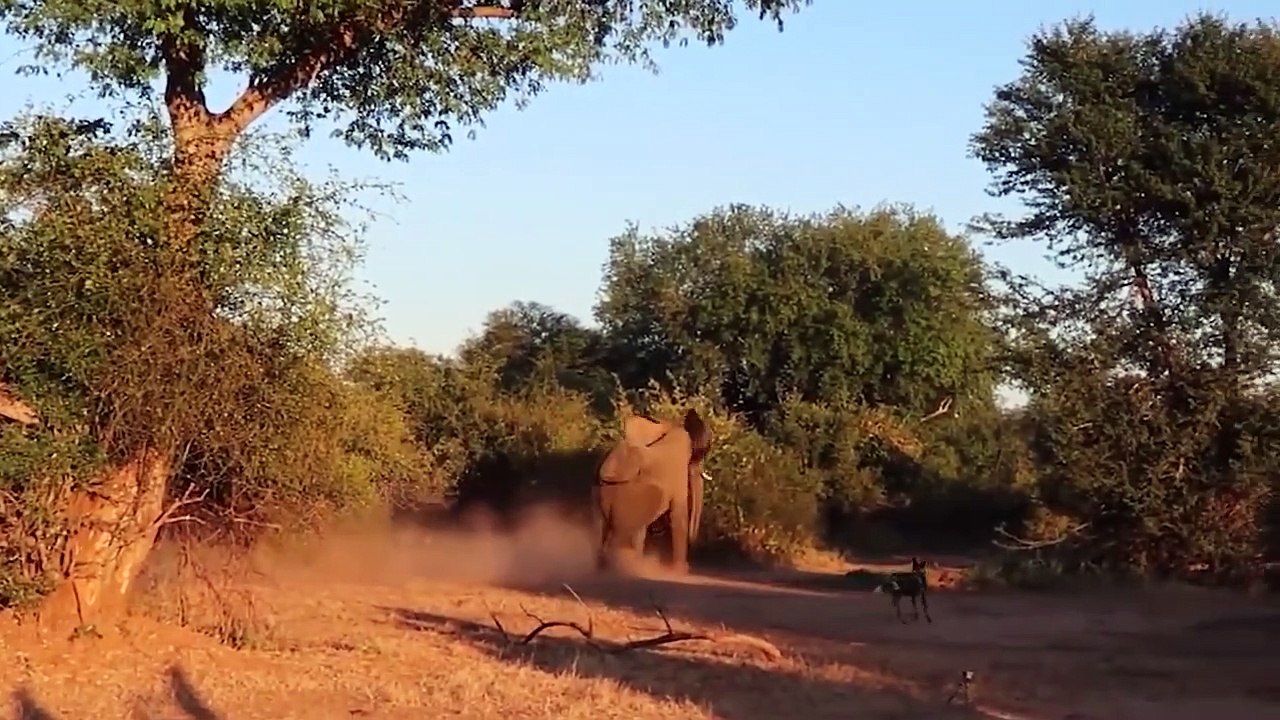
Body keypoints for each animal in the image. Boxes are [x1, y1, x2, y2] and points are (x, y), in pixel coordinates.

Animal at [592, 407, 712, 574]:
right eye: (698, 457)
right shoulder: (679, 467)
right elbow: (678, 514)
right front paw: (680, 571)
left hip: (603, 492)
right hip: (632, 497)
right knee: (623, 534)